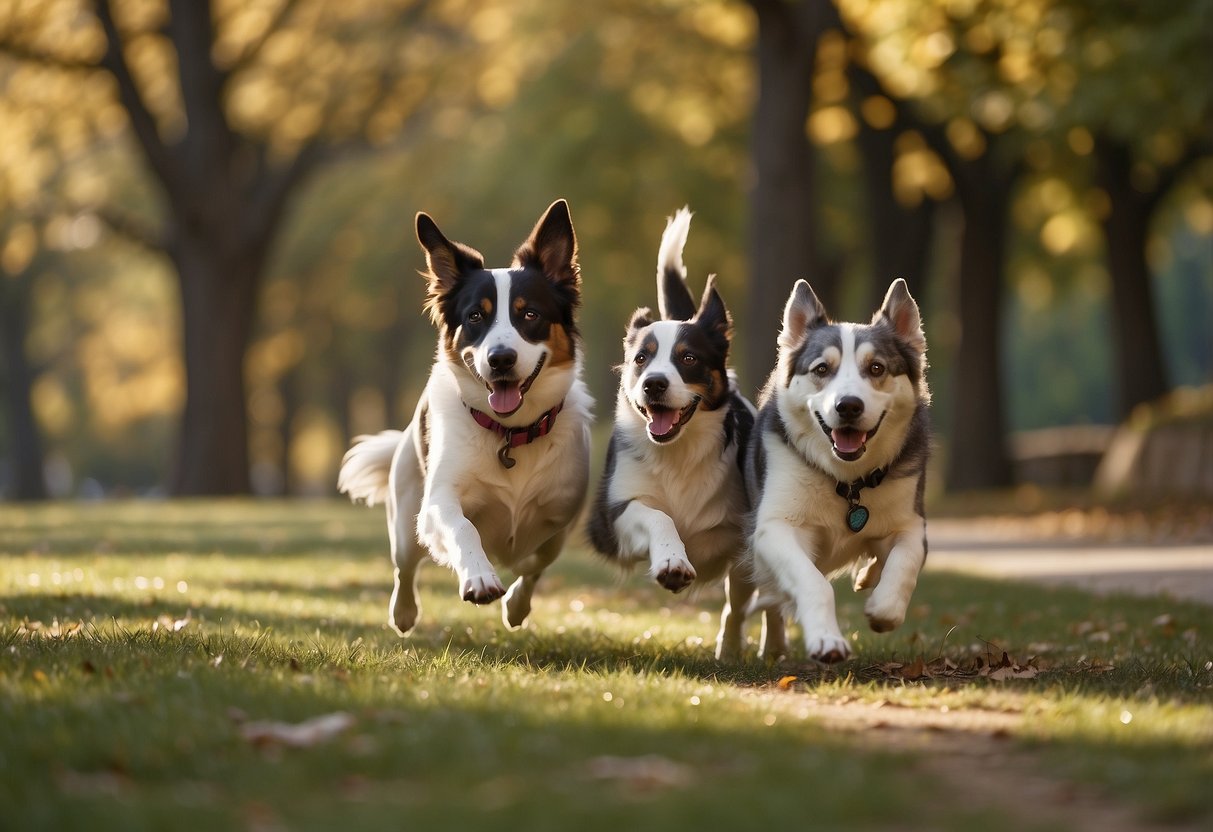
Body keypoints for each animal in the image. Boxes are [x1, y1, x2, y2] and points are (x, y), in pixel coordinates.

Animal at [337, 202, 591, 640]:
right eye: (475, 316)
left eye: (529, 314)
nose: (501, 359)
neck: (511, 433)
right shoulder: (439, 501)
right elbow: (463, 529)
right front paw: (481, 578)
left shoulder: (564, 514)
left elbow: (538, 558)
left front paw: (516, 599)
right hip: (406, 516)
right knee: (405, 567)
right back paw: (404, 613)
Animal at [589, 209, 795, 664]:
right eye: (641, 358)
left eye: (688, 358)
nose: (654, 384)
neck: (677, 453)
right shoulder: (616, 518)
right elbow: (658, 516)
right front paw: (672, 564)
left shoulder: (741, 531)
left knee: (745, 601)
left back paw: (759, 646)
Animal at [737, 280, 926, 664]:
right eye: (822, 370)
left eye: (877, 368)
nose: (848, 406)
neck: (847, 479)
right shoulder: (774, 528)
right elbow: (814, 583)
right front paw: (827, 641)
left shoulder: (911, 520)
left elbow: (906, 560)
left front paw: (884, 608)